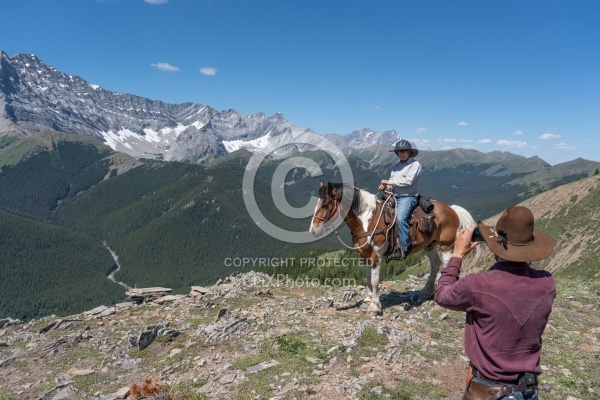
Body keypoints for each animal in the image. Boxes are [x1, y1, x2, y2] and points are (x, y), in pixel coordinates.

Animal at [310, 181, 474, 316]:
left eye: (325, 205)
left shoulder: (376, 255)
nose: (313, 230)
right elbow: (368, 278)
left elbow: (375, 280)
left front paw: (375, 307)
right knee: (435, 264)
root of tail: (452, 209)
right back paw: (425, 292)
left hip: (447, 245)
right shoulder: (364, 255)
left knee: (446, 265)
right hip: (430, 245)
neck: (366, 220)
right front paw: (367, 300)